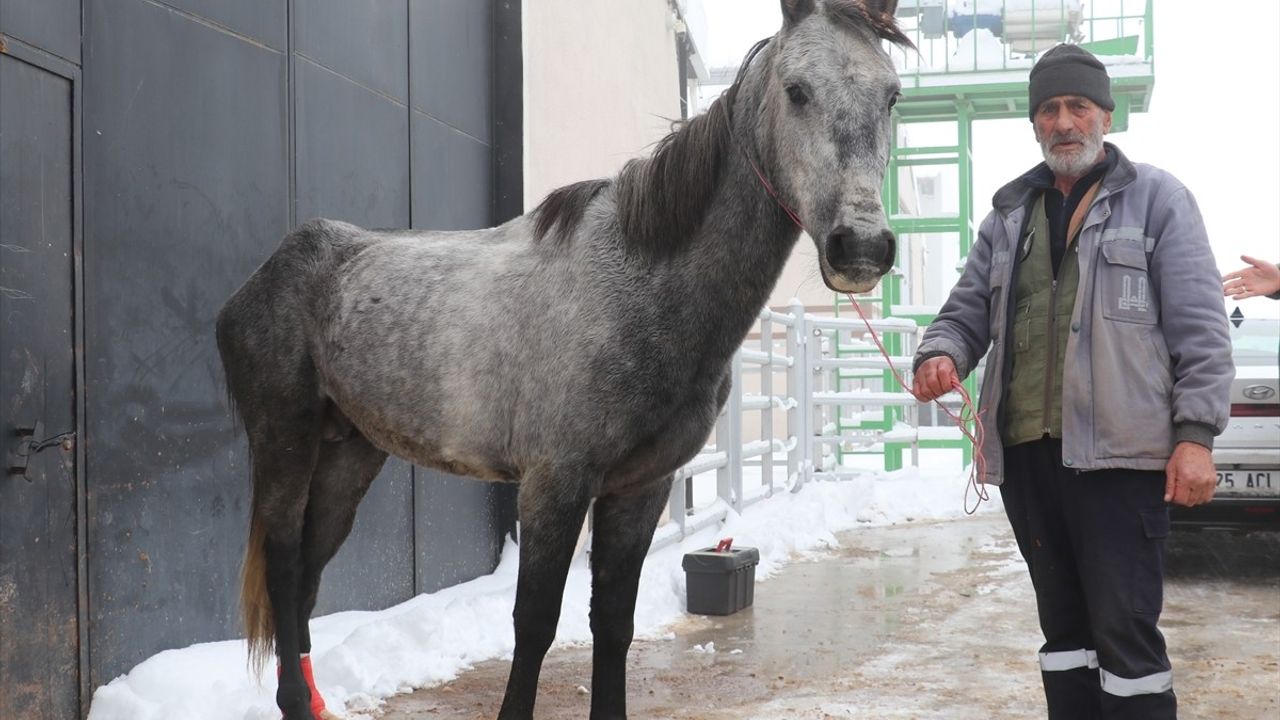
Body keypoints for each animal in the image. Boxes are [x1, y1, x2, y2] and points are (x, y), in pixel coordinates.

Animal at [212, 1, 911, 717]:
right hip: (285, 442)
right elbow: (536, 623)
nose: (861, 247)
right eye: (796, 90)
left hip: (351, 453)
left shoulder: (640, 489)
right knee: (286, 564)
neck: (638, 284)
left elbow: (613, 622)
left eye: (891, 95)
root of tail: (270, 271)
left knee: (307, 575)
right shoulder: (553, 485)